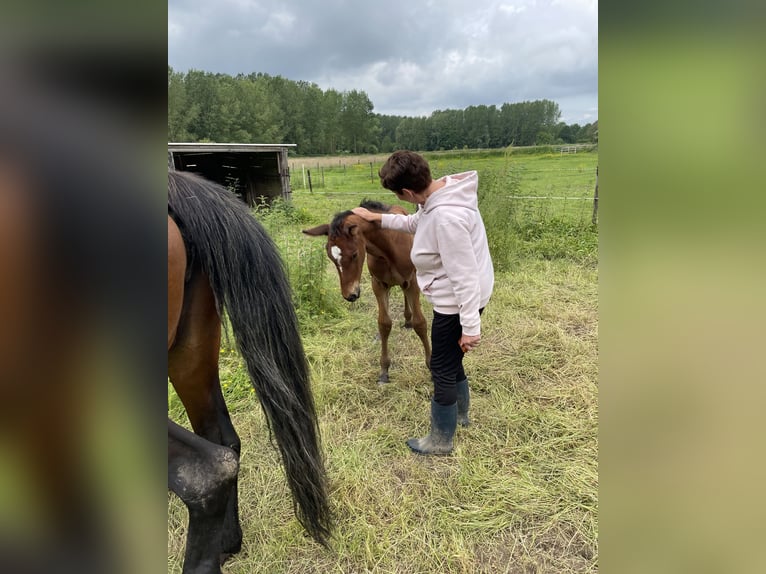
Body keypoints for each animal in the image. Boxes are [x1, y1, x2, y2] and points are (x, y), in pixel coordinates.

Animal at [304, 200, 432, 384]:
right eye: (330, 257)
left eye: (354, 254)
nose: (350, 295)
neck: (387, 250)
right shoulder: (378, 284)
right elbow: (384, 323)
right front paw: (384, 370)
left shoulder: (412, 281)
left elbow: (420, 323)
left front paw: (431, 366)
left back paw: (408, 320)